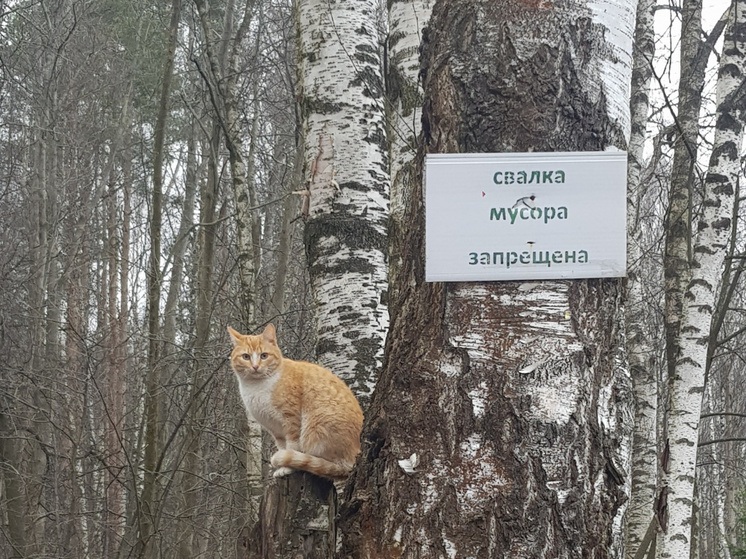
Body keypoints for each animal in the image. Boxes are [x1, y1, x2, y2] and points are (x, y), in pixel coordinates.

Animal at [230, 326, 364, 480]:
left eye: (264, 356)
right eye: (246, 357)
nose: (255, 366)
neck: (256, 387)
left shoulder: (291, 419)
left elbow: (292, 448)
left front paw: (287, 468)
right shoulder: (275, 429)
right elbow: (283, 447)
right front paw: (281, 467)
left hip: (316, 428)